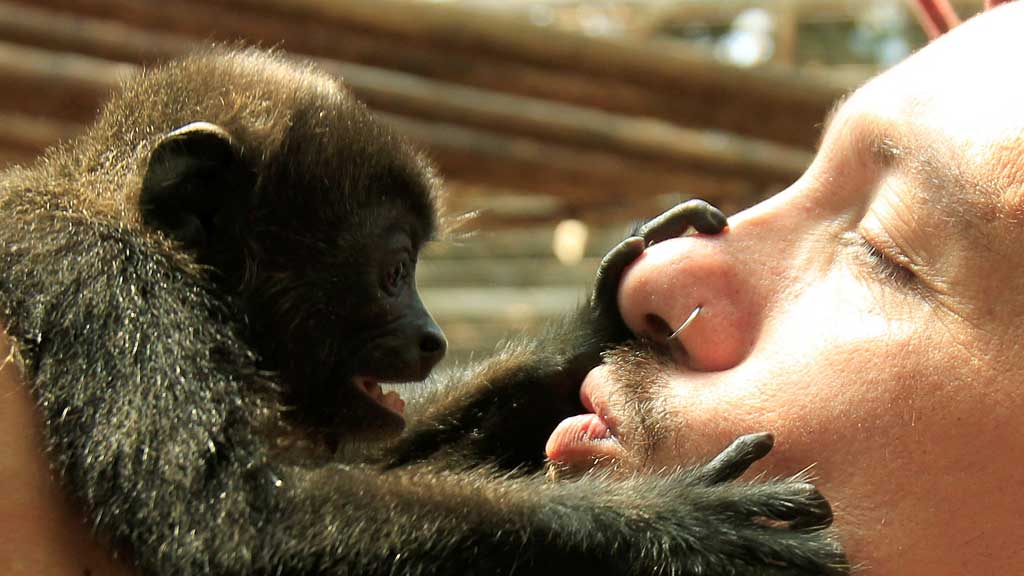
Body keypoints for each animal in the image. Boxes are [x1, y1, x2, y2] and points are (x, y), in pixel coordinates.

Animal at [0, 47, 849, 575]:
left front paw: (595, 327)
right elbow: (223, 521)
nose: (433, 337)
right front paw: (674, 524)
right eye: (394, 271)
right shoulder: (112, 282)